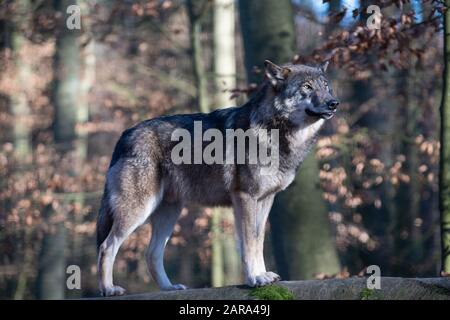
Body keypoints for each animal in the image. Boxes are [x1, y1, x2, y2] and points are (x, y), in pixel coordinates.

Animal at [96, 59, 340, 296]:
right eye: (307, 87)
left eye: (325, 86)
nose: (334, 103)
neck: (274, 131)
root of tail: (125, 135)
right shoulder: (245, 198)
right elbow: (249, 242)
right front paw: (255, 278)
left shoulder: (264, 200)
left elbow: (258, 240)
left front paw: (262, 275)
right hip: (138, 210)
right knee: (106, 246)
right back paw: (108, 289)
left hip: (169, 213)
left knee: (151, 254)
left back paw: (169, 288)